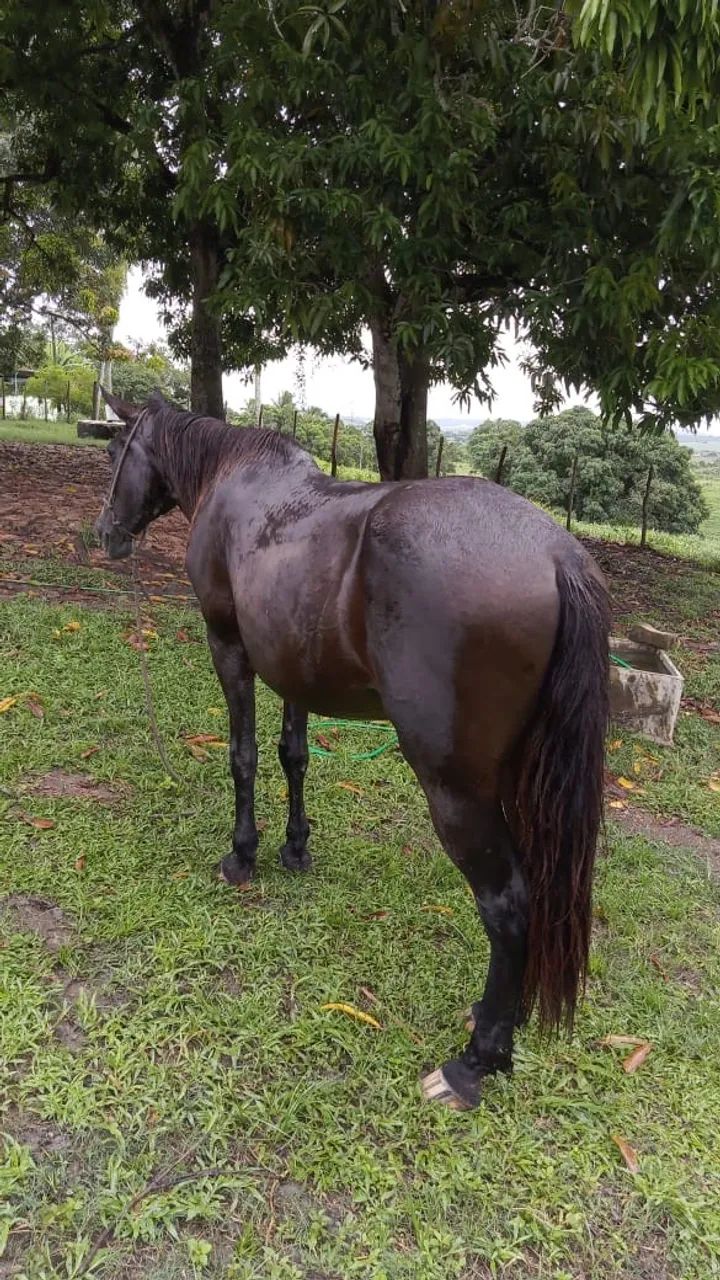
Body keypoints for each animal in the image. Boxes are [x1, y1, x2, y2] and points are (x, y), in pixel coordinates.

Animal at [95, 389, 610, 1111]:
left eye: (117, 450)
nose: (106, 534)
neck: (236, 481)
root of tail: (557, 555)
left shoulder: (230, 647)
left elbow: (244, 756)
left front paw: (243, 855)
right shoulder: (293, 668)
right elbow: (294, 755)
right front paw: (295, 848)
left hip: (458, 790)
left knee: (508, 904)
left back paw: (475, 1063)